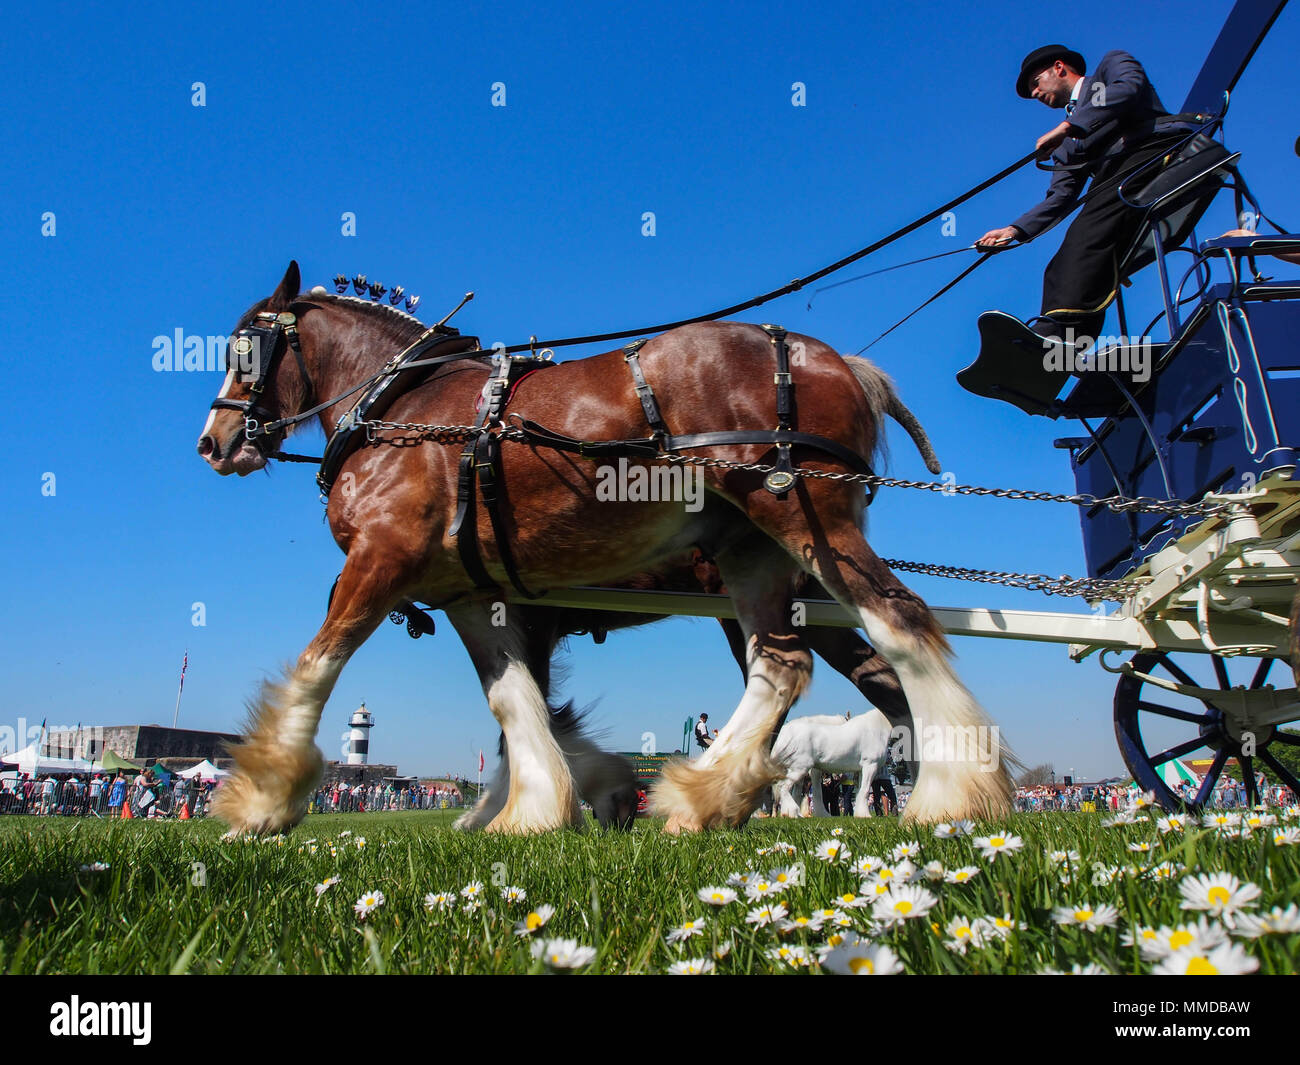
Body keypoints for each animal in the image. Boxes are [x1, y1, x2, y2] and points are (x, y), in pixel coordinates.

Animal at [200, 262, 1013, 837]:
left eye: (246, 349)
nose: (214, 440)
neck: (401, 411)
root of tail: (842, 360)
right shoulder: (477, 596)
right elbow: (518, 704)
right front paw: (541, 805)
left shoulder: (380, 557)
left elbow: (318, 663)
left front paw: (261, 800)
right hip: (756, 559)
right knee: (788, 667)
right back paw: (705, 796)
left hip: (808, 526)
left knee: (899, 626)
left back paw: (948, 794)